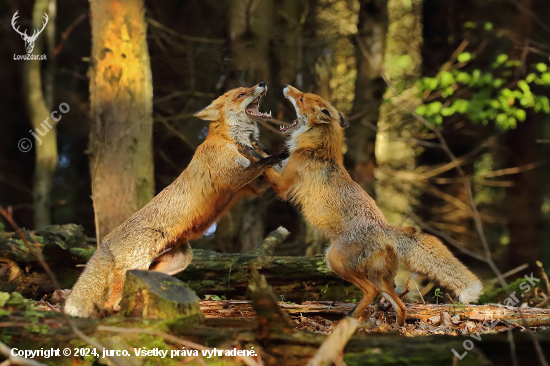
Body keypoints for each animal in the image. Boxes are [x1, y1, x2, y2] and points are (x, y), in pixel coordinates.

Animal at [63, 83, 284, 318]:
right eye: (241, 94)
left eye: (246, 88)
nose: (262, 83)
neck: (229, 140)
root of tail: (109, 235)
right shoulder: (232, 179)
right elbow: (260, 162)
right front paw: (277, 153)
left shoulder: (252, 187)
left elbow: (264, 167)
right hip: (137, 263)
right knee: (110, 301)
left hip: (176, 261)